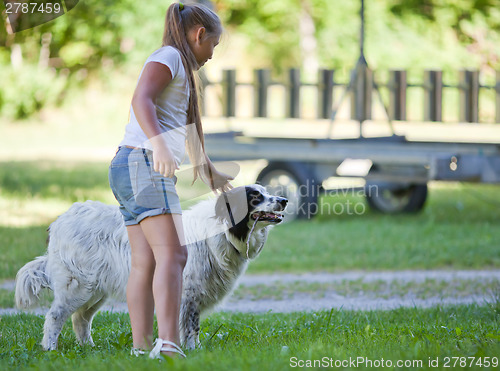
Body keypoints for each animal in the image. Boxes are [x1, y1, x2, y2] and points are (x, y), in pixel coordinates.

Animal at [14, 185, 286, 352]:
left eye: (266, 191)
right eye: (255, 197)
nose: (284, 200)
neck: (220, 230)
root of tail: (60, 220)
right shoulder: (188, 292)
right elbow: (191, 325)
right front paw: (191, 351)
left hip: (95, 290)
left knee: (80, 319)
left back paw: (88, 348)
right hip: (78, 286)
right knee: (55, 316)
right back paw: (50, 348)